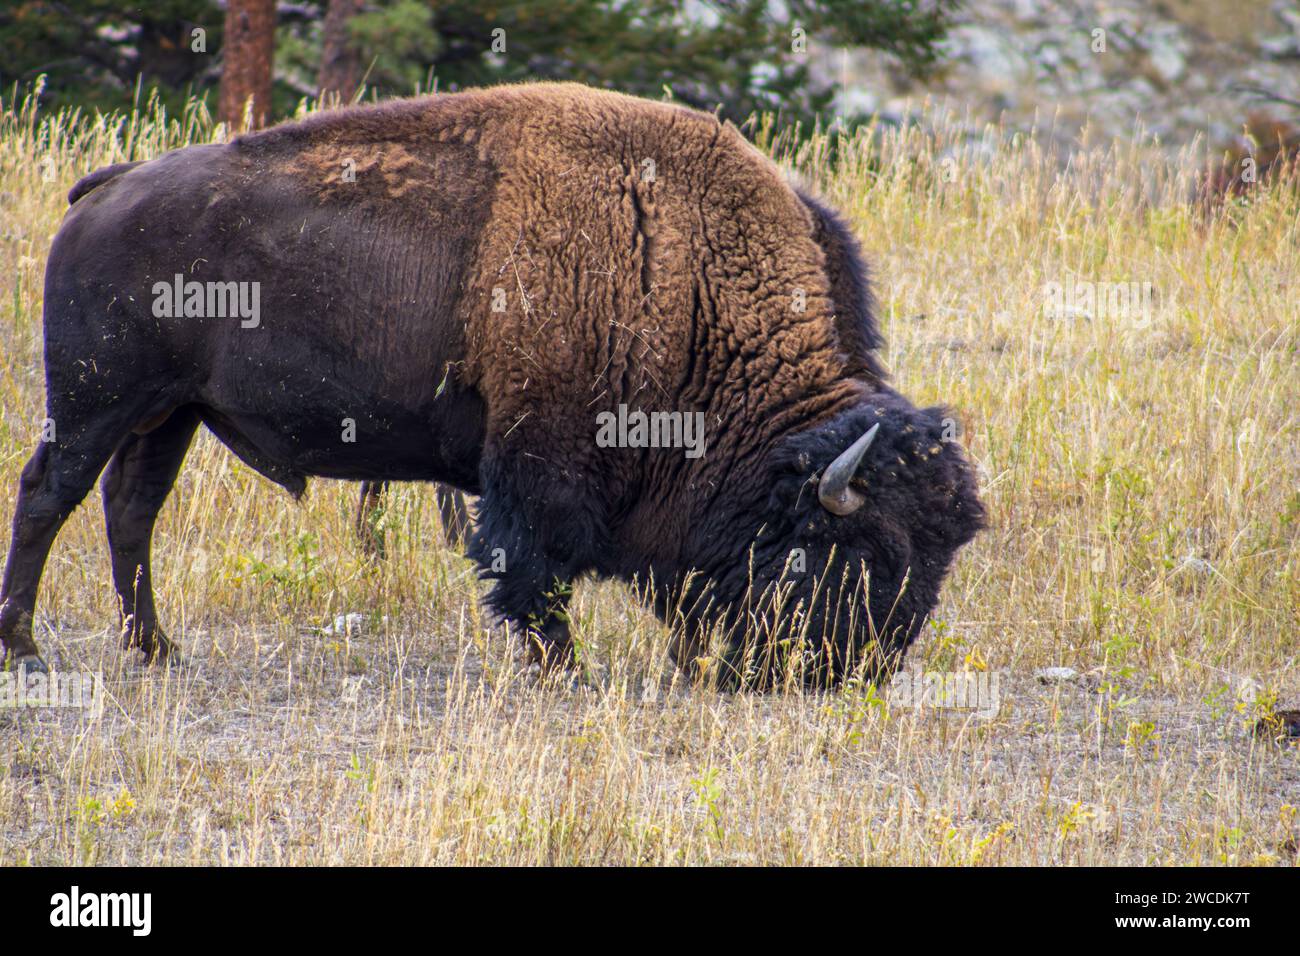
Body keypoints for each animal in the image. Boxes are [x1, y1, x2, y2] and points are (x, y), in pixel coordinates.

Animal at [0, 83, 983, 688]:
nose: (859, 671)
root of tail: (110, 187)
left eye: (942, 554)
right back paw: (28, 651)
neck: (682, 279)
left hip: (171, 414)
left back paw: (157, 649)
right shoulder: (538, 462)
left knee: (131, 509)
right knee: (51, 493)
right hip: (98, 402)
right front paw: (566, 667)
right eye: (863, 553)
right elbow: (531, 568)